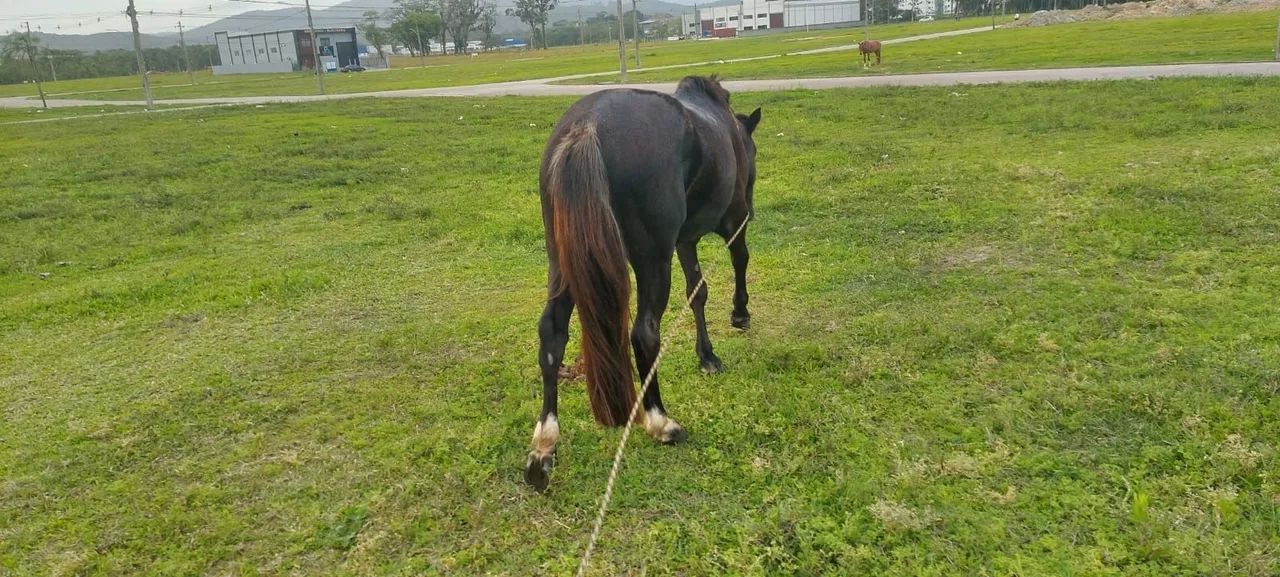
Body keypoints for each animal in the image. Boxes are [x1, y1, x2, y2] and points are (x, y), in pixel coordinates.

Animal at [524, 76, 762, 492]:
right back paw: (660, 421)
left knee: (552, 334)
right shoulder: (734, 222)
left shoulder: (685, 240)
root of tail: (586, 127)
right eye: (755, 152)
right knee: (645, 333)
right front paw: (740, 314)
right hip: (653, 260)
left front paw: (707, 356)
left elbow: (697, 293)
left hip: (563, 259)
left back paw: (544, 448)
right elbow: (739, 262)